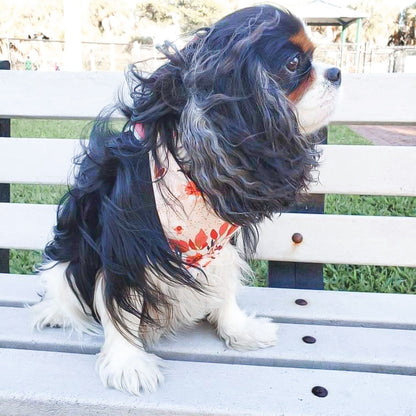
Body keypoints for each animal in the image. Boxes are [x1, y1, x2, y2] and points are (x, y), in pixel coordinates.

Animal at [31, 4, 342, 394]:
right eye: (293, 63)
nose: (337, 73)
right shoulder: (124, 244)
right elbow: (118, 302)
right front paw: (128, 362)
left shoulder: (220, 244)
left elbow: (225, 287)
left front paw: (238, 329)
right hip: (66, 261)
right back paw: (56, 313)